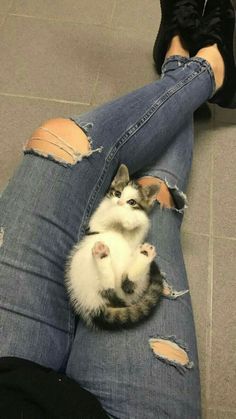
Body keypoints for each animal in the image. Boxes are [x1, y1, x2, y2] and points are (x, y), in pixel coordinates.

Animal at [65, 164, 164, 332]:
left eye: (132, 201)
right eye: (118, 193)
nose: (119, 203)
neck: (119, 228)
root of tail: (95, 309)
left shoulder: (133, 240)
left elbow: (143, 222)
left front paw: (134, 218)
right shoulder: (98, 220)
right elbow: (109, 213)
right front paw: (126, 216)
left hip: (130, 282)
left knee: (127, 285)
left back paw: (144, 254)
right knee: (111, 287)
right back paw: (102, 255)